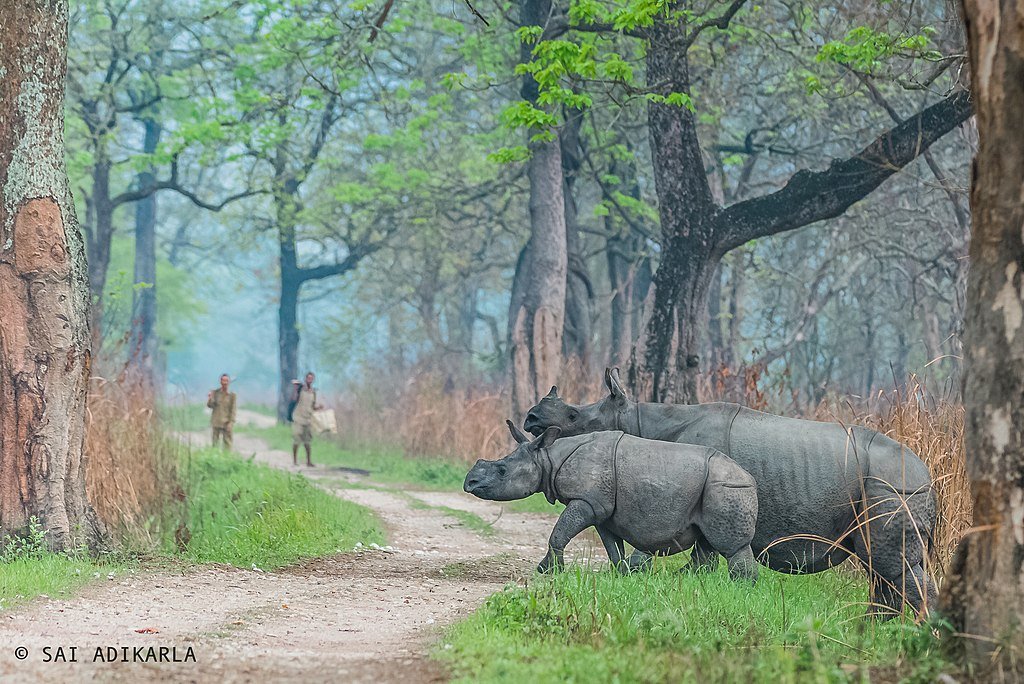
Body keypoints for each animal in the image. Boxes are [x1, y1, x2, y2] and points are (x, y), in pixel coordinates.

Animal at [464, 420, 759, 581]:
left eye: (502, 471)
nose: (469, 483)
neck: (547, 458)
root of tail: (749, 476)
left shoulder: (586, 501)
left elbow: (559, 532)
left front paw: (548, 571)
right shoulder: (601, 509)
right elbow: (611, 546)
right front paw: (621, 573)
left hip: (727, 487)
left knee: (731, 546)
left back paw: (742, 587)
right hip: (714, 487)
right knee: (705, 543)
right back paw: (688, 580)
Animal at [522, 369, 936, 617]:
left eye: (574, 417)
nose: (531, 419)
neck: (639, 420)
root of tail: (929, 475)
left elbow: (666, 548)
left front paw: (642, 575)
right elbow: (700, 559)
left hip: (892, 486)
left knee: (890, 565)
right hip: (889, 485)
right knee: (880, 566)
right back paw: (879, 625)